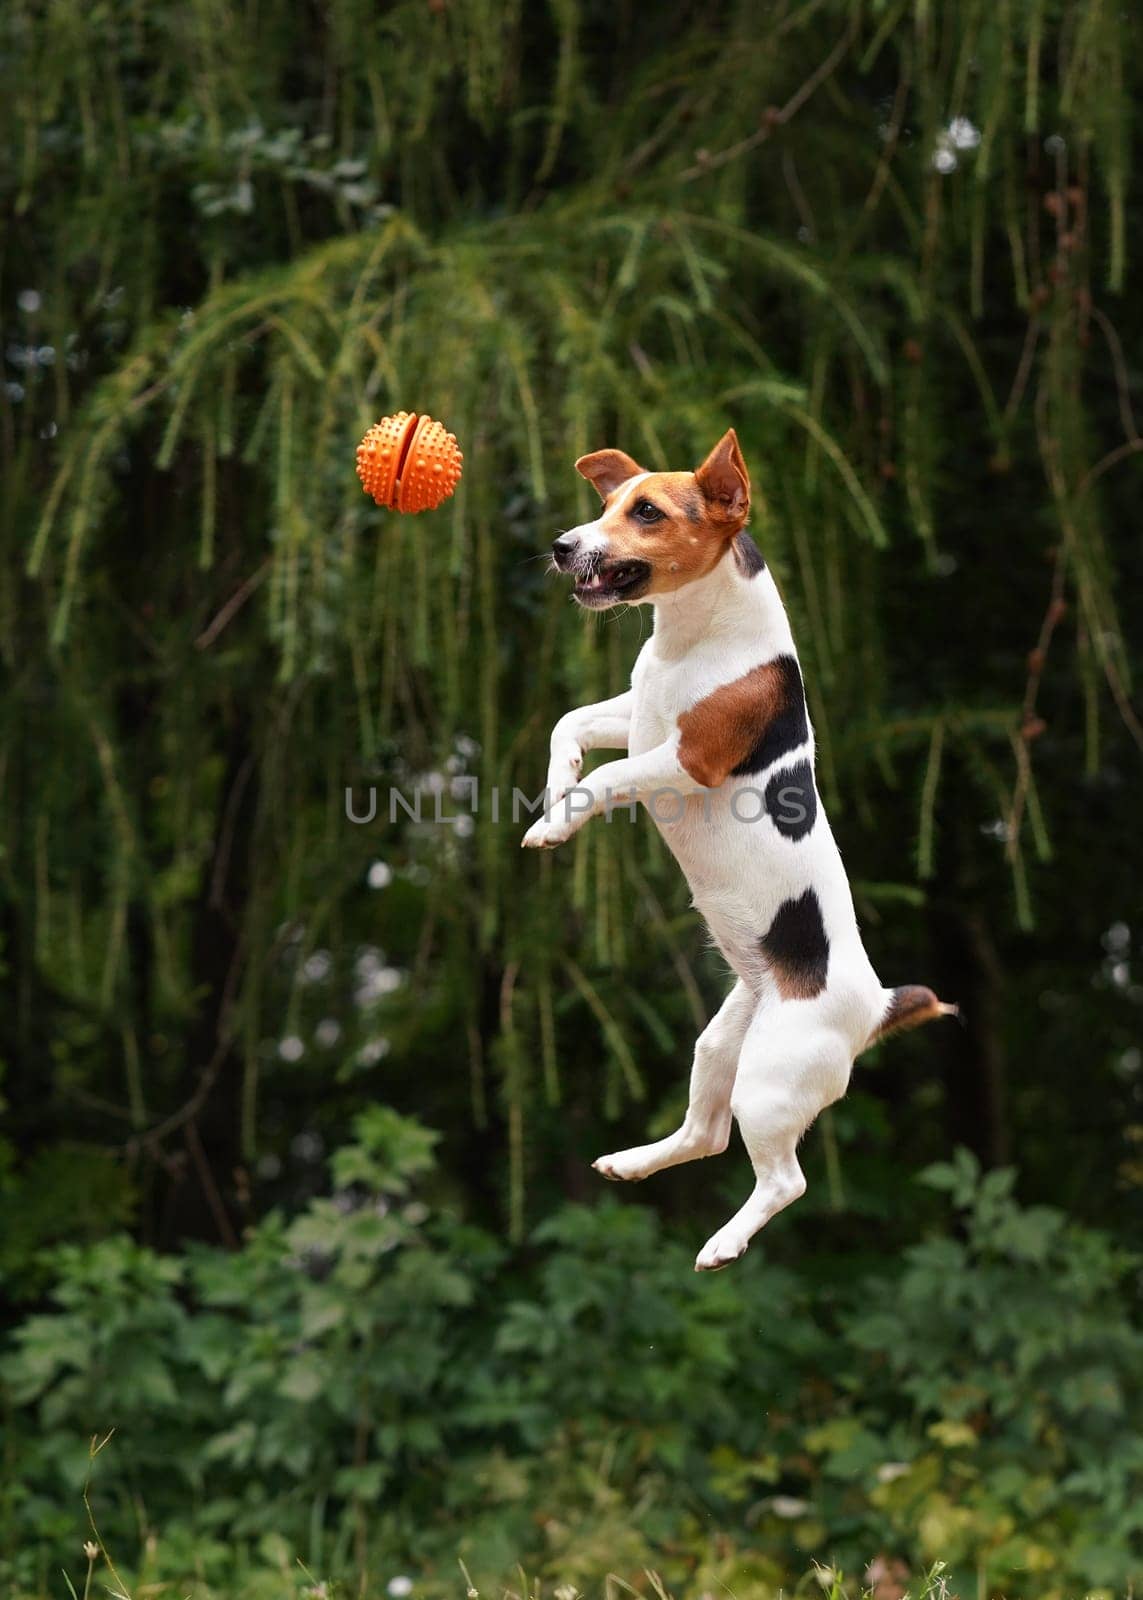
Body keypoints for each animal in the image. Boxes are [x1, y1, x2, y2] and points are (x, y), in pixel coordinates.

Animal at [521, 432, 947, 1267]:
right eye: (606, 505)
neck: (691, 635)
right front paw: (559, 787)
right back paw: (632, 1162)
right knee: (704, 1134)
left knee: (783, 1180)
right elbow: (569, 725)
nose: (561, 547)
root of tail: (875, 1006)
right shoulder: (636, 717)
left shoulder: (684, 760)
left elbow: (610, 776)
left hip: (771, 1080)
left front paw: (559, 822)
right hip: (721, 1044)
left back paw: (722, 1243)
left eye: (646, 513)